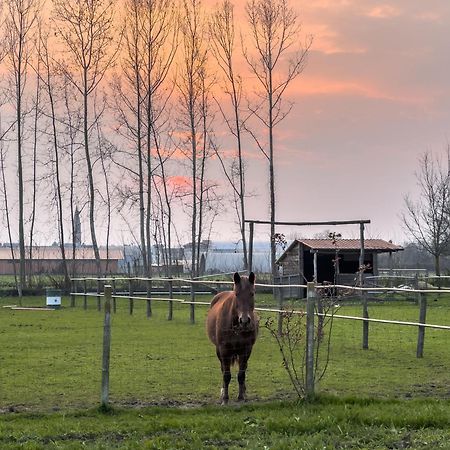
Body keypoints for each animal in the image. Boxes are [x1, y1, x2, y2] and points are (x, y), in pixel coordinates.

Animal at [207, 270, 258, 404]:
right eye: (236, 294)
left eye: (252, 293)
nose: (244, 321)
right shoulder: (224, 350)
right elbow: (226, 375)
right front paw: (225, 398)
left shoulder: (246, 350)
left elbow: (241, 374)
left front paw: (241, 396)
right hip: (219, 351)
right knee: (223, 370)